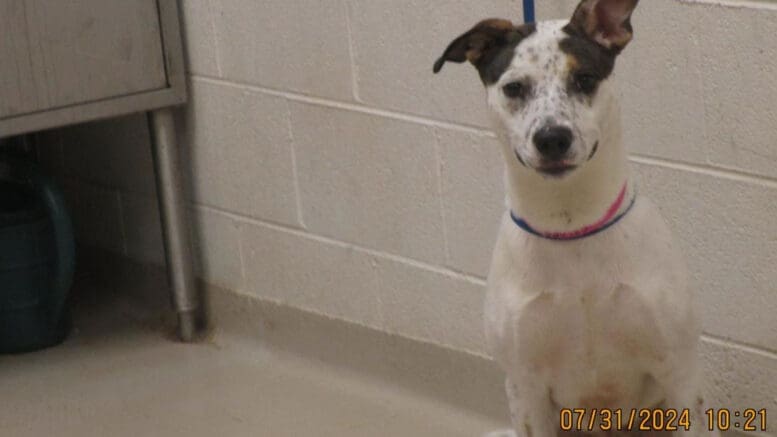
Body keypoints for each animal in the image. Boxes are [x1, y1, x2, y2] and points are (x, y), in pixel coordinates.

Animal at [434, 0, 712, 436]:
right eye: (514, 88)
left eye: (584, 78)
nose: (552, 138)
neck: (570, 225)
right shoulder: (526, 389)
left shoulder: (680, 374)